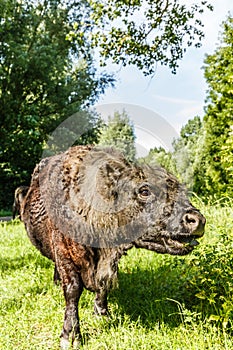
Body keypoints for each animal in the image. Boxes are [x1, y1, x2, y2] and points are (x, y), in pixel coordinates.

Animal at [20, 144, 206, 348]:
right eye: (144, 190)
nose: (197, 220)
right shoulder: (65, 254)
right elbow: (72, 291)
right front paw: (71, 336)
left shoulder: (108, 260)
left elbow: (103, 284)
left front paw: (102, 314)